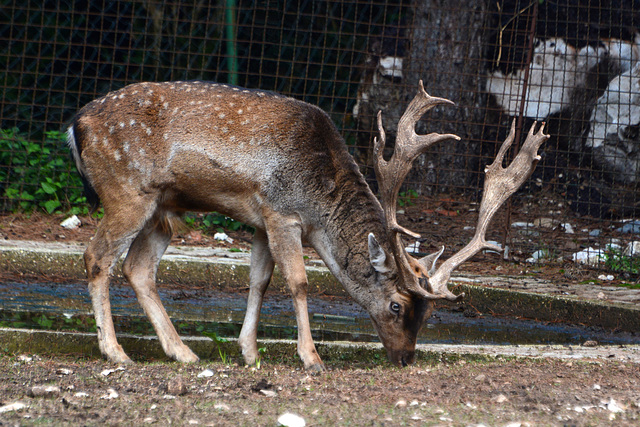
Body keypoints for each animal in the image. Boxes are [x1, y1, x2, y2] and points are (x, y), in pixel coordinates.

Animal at [67, 79, 552, 372]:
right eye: (396, 306)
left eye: (428, 313)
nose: (405, 358)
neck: (320, 205)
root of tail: (76, 125)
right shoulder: (282, 212)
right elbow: (298, 282)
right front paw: (311, 357)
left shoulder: (259, 219)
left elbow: (259, 281)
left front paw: (249, 353)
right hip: (127, 191)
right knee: (96, 257)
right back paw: (116, 352)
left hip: (161, 209)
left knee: (138, 268)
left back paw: (183, 352)